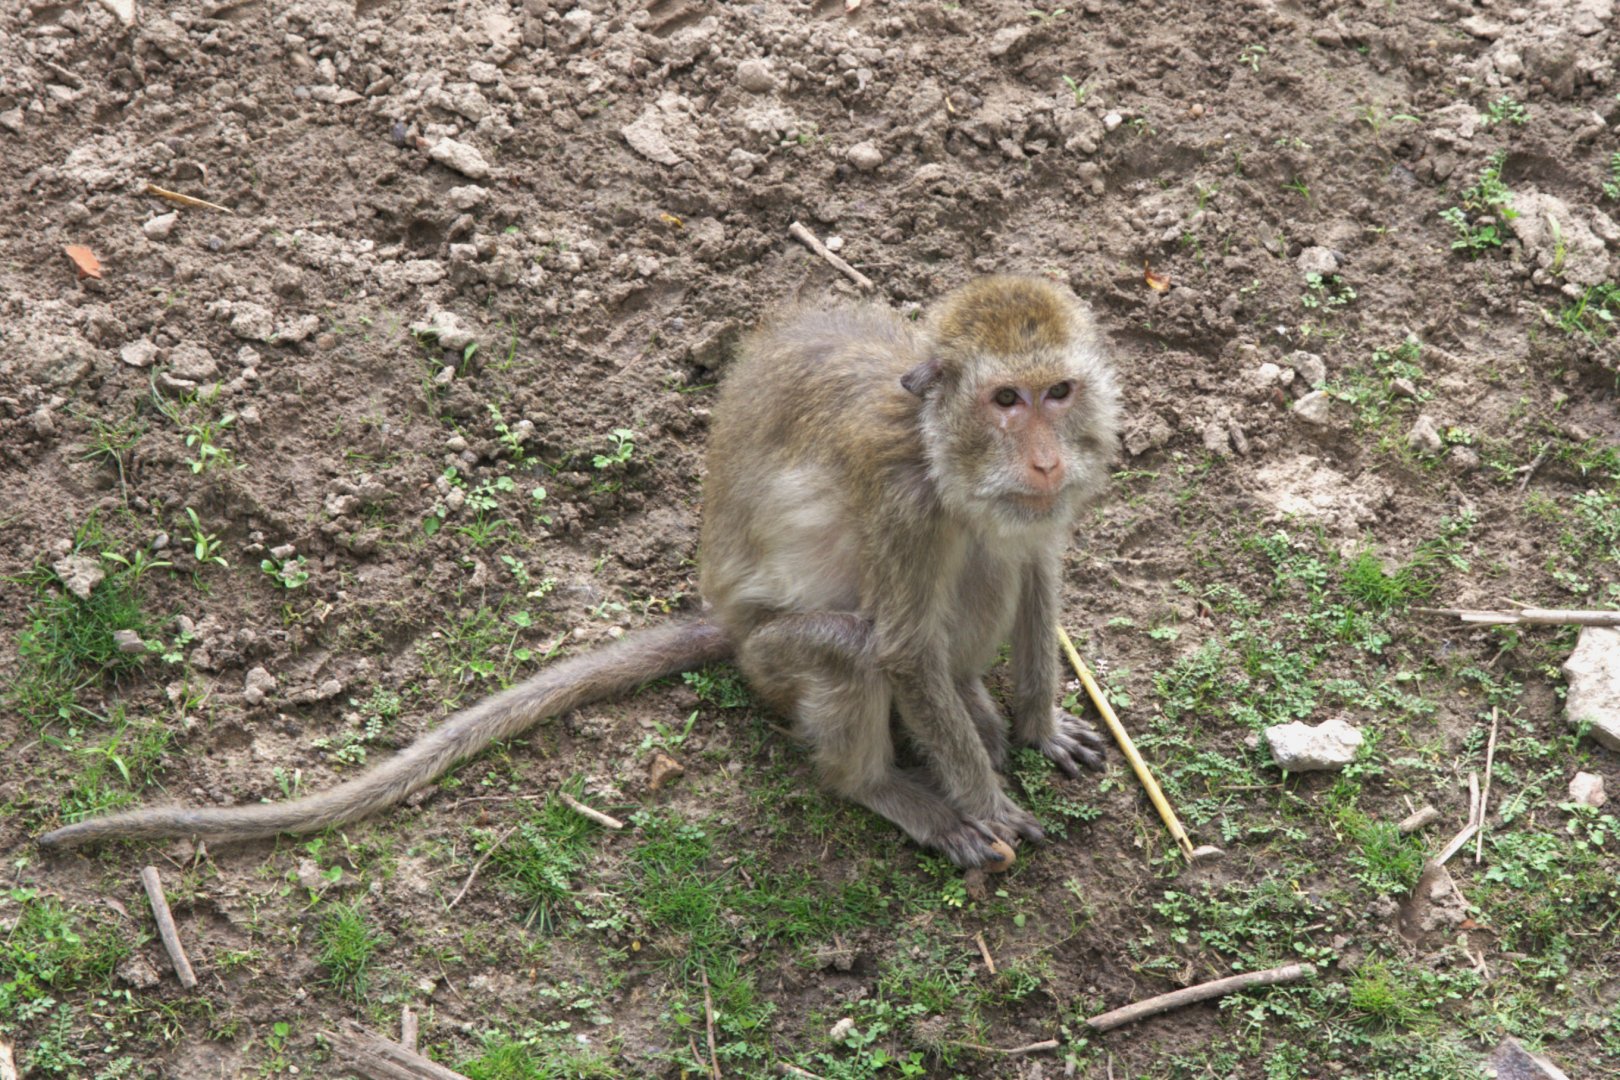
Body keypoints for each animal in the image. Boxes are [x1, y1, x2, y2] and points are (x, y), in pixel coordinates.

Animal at [39, 275, 1120, 869]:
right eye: (1007, 399)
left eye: (1059, 394)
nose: (1043, 459)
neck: (946, 457)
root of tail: (723, 621)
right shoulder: (905, 506)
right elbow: (896, 650)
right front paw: (986, 800)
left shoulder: (1034, 508)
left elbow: (1036, 570)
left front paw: (1037, 723)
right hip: (772, 656)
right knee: (853, 653)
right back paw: (885, 786)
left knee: (988, 573)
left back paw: (975, 703)